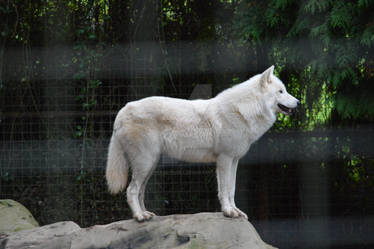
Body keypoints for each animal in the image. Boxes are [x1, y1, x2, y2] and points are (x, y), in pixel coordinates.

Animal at [105, 65, 298, 221]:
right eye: (281, 91)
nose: (298, 102)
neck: (245, 109)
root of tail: (122, 111)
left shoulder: (234, 160)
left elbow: (232, 189)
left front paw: (236, 211)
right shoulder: (224, 159)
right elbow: (224, 190)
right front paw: (228, 212)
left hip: (150, 165)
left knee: (140, 191)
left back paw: (147, 214)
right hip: (145, 163)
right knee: (131, 190)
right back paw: (139, 217)